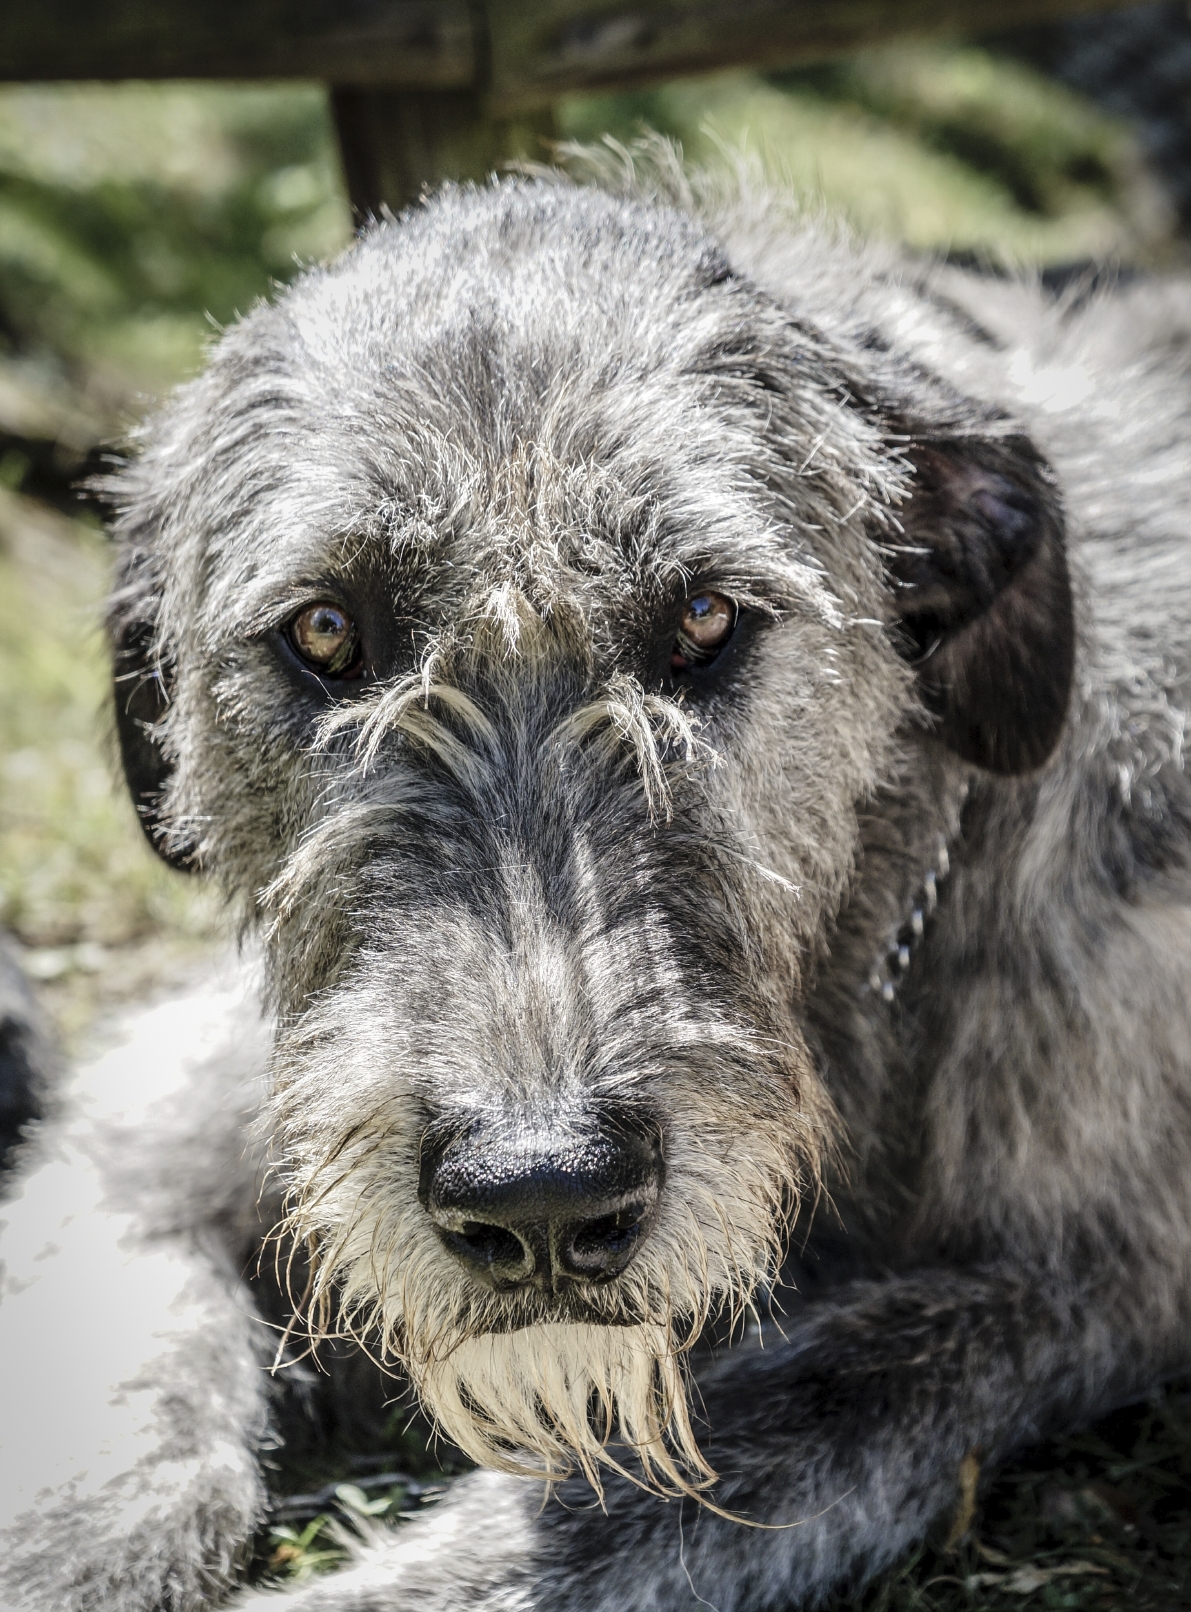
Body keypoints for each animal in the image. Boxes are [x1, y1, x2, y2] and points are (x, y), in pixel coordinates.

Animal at [2, 153, 1191, 1612]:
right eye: (325, 631)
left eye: (705, 617)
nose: (542, 1197)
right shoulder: (169, 1119)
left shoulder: (1074, 1284)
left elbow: (690, 1470)